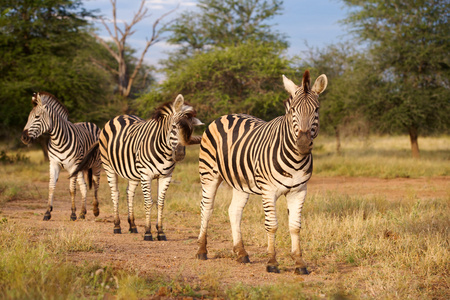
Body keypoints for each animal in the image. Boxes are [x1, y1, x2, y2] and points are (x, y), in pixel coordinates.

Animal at [20, 91, 101, 220]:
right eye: (28, 118)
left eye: (37, 117)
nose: (23, 138)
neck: (57, 140)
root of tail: (90, 123)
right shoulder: (54, 164)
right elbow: (51, 186)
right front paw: (47, 212)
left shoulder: (73, 166)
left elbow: (72, 190)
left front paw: (72, 214)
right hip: (81, 167)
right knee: (84, 186)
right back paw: (82, 212)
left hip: (96, 164)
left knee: (96, 184)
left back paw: (95, 210)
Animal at [72, 95, 202, 240]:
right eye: (173, 126)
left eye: (191, 130)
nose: (179, 154)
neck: (164, 150)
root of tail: (120, 116)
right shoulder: (146, 175)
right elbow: (148, 202)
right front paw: (148, 232)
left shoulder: (166, 176)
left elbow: (161, 203)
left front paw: (160, 232)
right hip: (108, 166)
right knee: (115, 194)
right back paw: (117, 226)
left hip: (132, 172)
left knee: (129, 193)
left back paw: (132, 225)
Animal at [196, 69, 326, 274]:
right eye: (292, 110)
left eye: (317, 110)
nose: (303, 145)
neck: (295, 159)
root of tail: (227, 115)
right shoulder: (268, 191)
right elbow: (271, 225)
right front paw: (272, 262)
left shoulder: (299, 191)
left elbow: (295, 227)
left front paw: (299, 263)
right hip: (209, 174)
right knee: (206, 208)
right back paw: (202, 250)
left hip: (240, 182)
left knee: (234, 211)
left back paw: (241, 253)